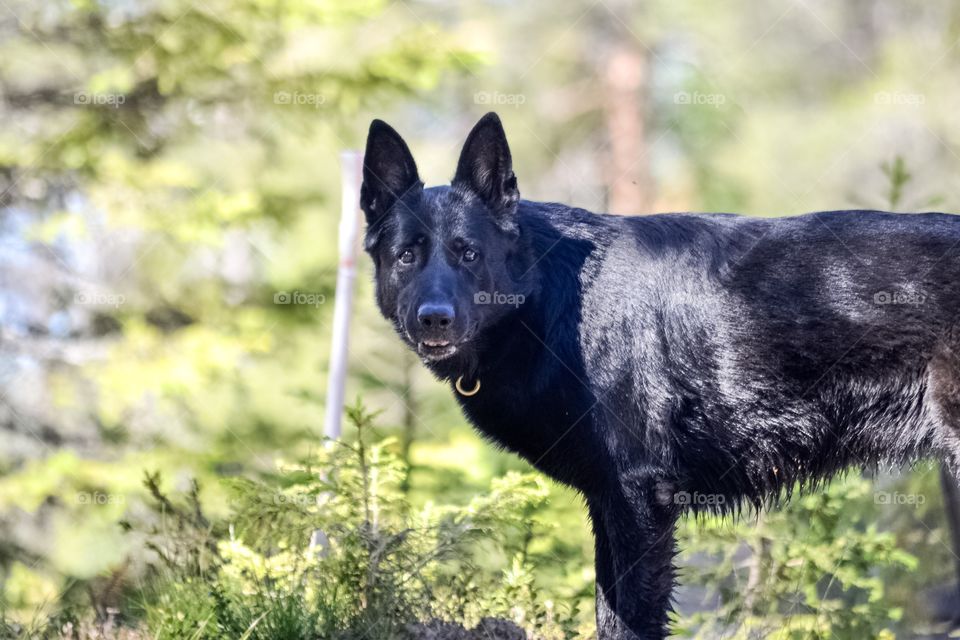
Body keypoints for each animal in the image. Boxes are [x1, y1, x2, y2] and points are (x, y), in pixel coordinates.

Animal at [360, 114, 960, 640]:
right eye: (407, 255)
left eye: (468, 253)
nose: (434, 318)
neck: (551, 299)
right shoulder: (609, 503)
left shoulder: (638, 500)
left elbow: (628, 622)